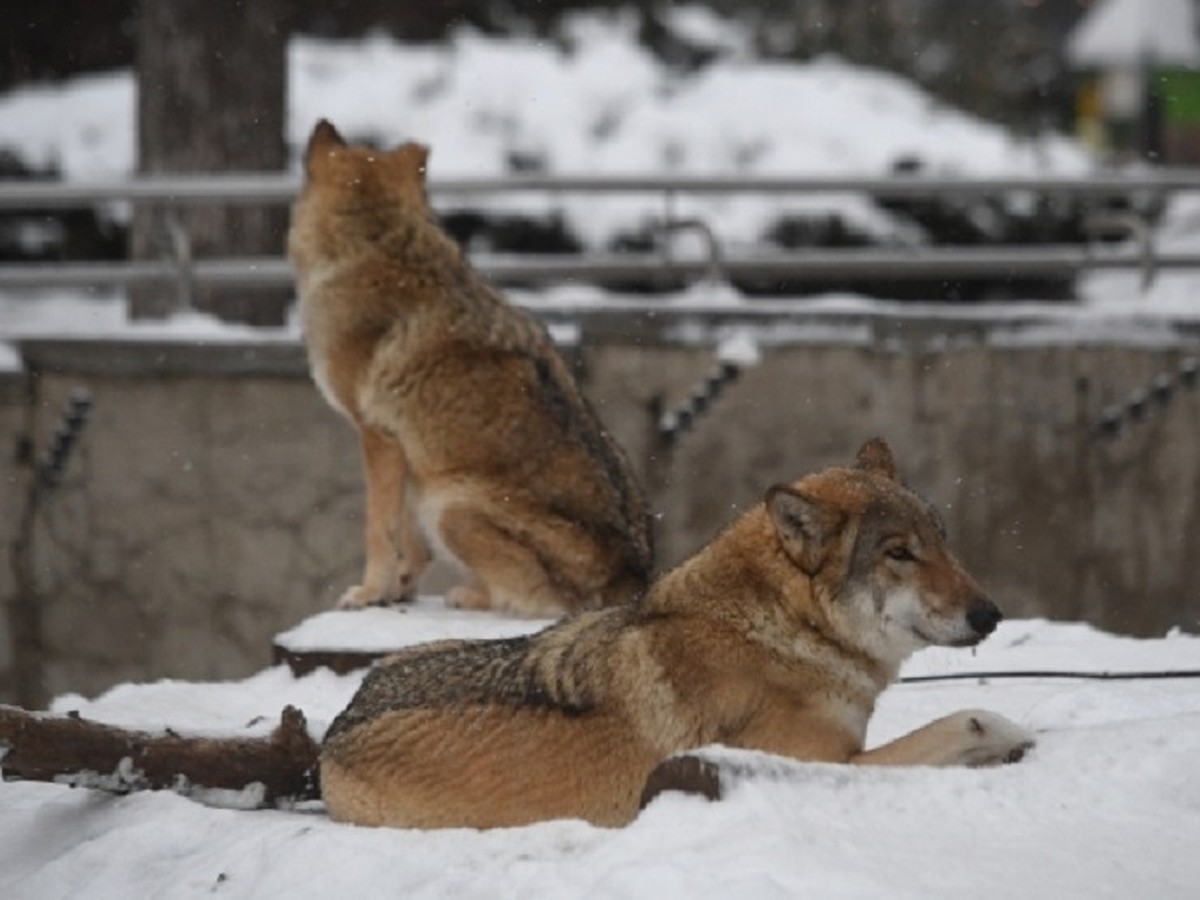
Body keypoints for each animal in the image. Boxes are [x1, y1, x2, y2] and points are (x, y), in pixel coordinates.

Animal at [286, 121, 652, 614]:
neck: (375, 244)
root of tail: (636, 585)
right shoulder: (405, 450)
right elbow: (408, 542)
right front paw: (397, 590)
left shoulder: (377, 437)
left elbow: (379, 531)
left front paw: (367, 592)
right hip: (438, 495)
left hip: (450, 505)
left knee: (535, 604)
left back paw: (469, 596)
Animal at [321, 441, 1032, 830]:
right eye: (899, 554)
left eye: (941, 539)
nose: (990, 615)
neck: (783, 629)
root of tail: (334, 732)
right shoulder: (819, 764)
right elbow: (957, 722)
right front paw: (1002, 732)